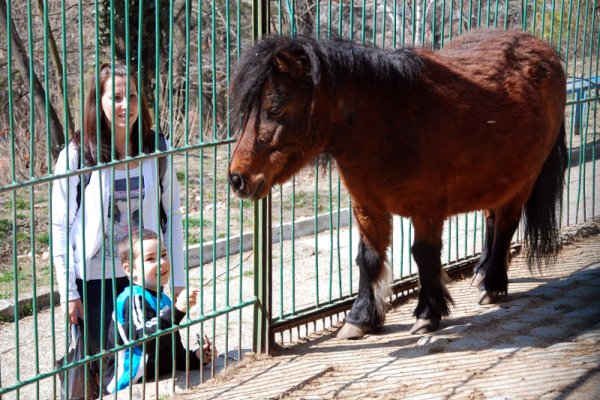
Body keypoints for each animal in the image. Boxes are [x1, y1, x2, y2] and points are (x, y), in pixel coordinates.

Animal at [227, 29, 564, 340]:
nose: (237, 178)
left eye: (274, 108)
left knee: (506, 226)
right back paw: (481, 274)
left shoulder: (428, 209)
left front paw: (428, 313)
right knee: (492, 220)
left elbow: (424, 255)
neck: (392, 124)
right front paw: (360, 318)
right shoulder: (367, 206)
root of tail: (543, 48)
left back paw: (493, 285)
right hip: (497, 177)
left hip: (525, 179)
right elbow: (368, 258)